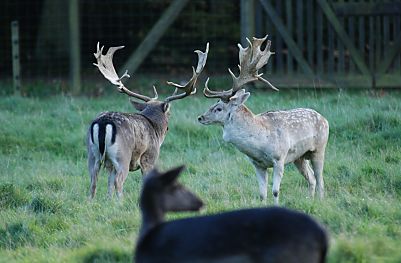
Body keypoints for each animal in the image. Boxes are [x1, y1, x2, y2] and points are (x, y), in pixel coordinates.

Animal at [86, 42, 208, 199]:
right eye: (169, 113)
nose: (168, 128)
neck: (156, 130)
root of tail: (103, 123)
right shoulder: (150, 158)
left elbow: (108, 184)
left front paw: (109, 201)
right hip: (122, 155)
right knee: (118, 180)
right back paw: (121, 202)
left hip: (92, 153)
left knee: (93, 180)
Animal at [197, 35, 328, 204]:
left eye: (219, 108)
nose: (200, 117)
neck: (260, 143)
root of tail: (324, 119)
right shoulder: (257, 164)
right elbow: (262, 193)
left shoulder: (279, 158)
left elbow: (275, 191)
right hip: (299, 157)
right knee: (311, 178)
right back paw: (309, 200)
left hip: (319, 148)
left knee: (320, 180)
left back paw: (320, 201)